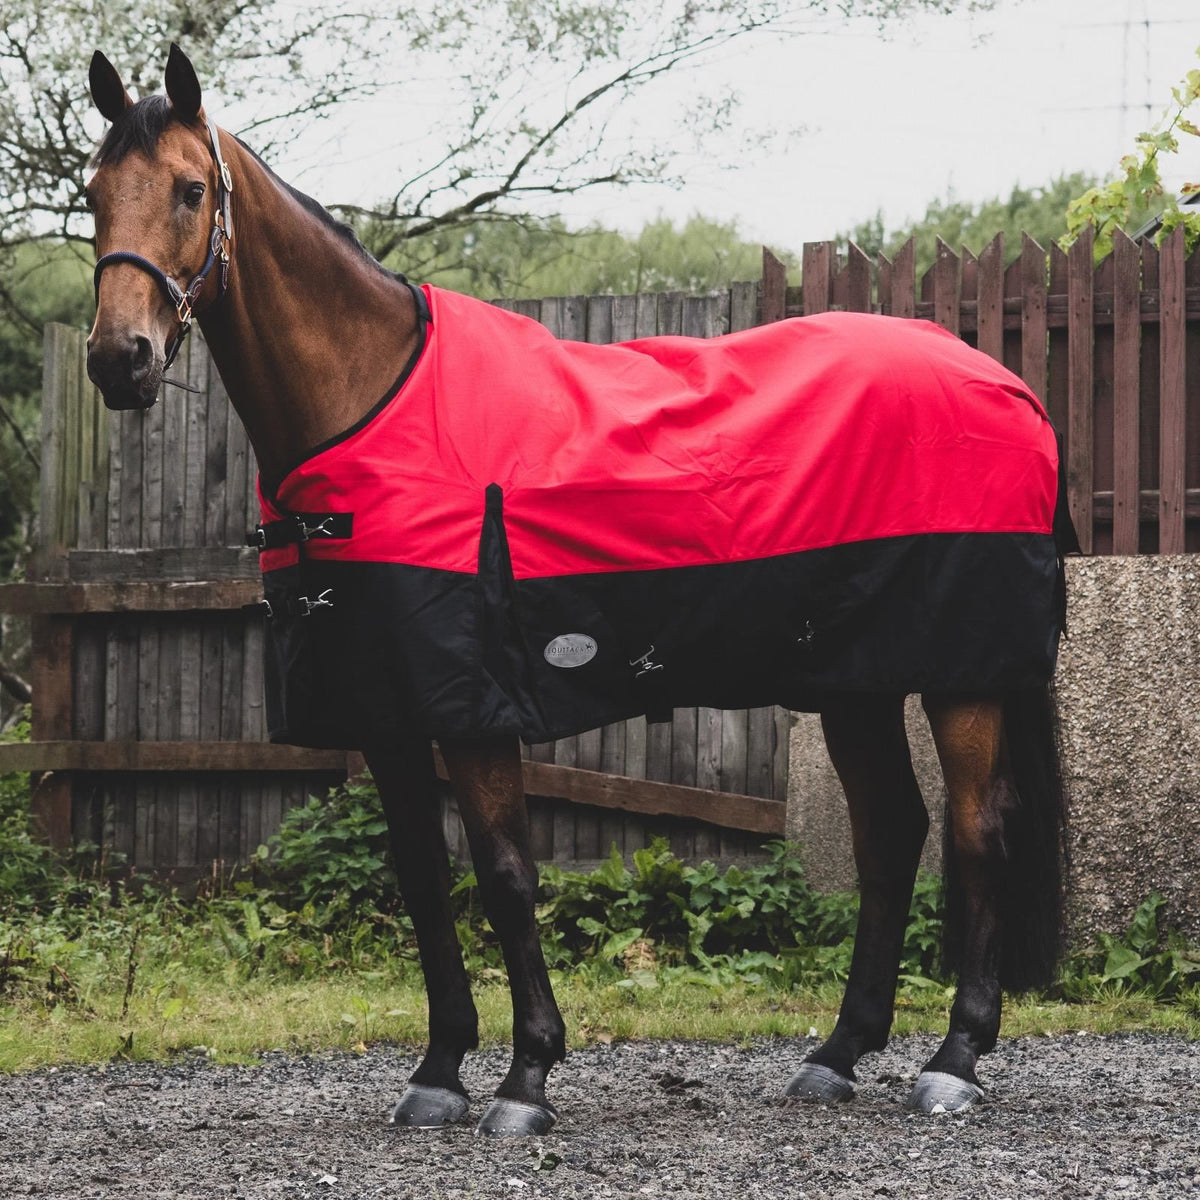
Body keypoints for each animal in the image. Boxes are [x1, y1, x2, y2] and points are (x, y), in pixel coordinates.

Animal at [84, 45, 1071, 1136]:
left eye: (191, 189)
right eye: (92, 193)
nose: (119, 359)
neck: (373, 403)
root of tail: (1011, 387)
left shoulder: (475, 712)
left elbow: (507, 875)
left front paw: (527, 1079)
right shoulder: (387, 710)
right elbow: (423, 879)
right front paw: (438, 1072)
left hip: (961, 677)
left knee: (980, 832)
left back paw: (956, 1060)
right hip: (855, 679)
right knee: (892, 835)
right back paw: (837, 1054)